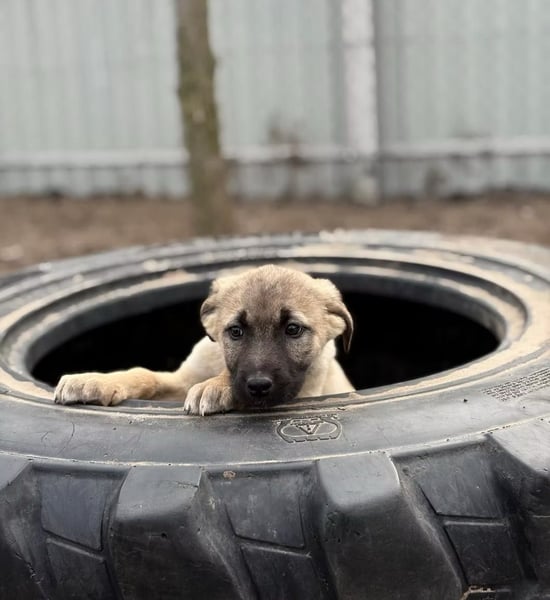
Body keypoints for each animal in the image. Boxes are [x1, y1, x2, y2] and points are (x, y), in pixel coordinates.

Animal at [54, 264, 354, 415]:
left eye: (293, 330)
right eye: (235, 331)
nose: (257, 385)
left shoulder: (301, 392)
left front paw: (216, 385)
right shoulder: (180, 380)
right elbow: (144, 375)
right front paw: (95, 380)